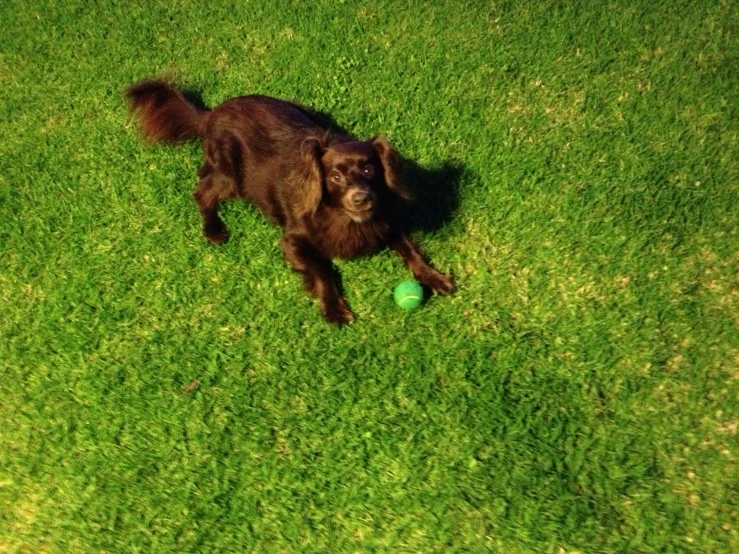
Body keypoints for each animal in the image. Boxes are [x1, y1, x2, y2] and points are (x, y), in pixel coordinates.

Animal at [124, 79, 454, 322]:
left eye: (369, 169)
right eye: (335, 176)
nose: (362, 198)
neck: (344, 217)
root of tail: (213, 112)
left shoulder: (386, 221)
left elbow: (411, 250)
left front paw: (435, 278)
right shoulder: (293, 242)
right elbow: (322, 270)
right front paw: (335, 309)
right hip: (231, 177)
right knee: (202, 192)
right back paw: (213, 230)